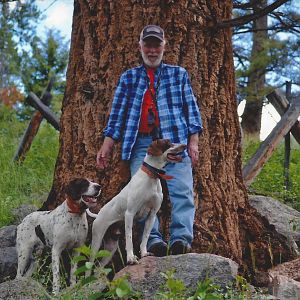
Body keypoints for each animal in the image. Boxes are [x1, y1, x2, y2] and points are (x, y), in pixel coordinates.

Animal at [86, 138, 186, 268]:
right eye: (168, 143)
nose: (184, 145)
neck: (151, 177)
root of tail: (98, 214)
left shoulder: (152, 215)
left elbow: (145, 238)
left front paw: (144, 253)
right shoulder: (130, 213)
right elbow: (129, 240)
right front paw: (131, 258)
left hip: (110, 248)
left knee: (98, 268)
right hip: (96, 242)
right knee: (89, 265)